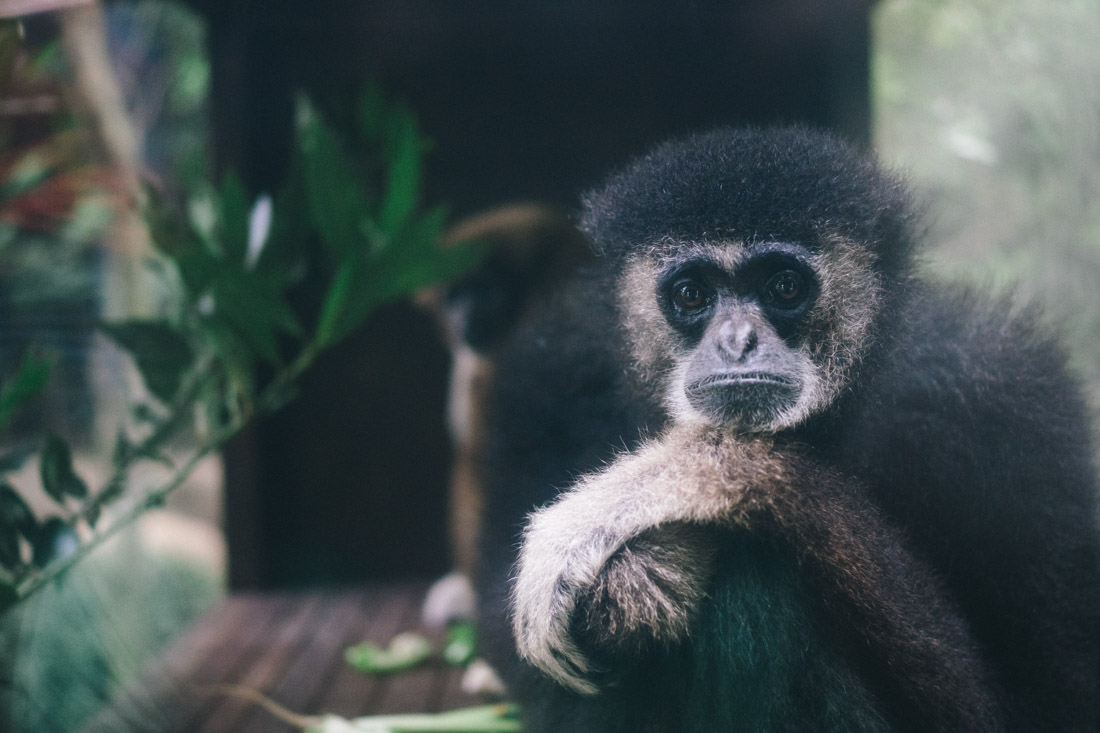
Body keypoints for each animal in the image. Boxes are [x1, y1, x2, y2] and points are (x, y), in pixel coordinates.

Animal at [468, 127, 1100, 731]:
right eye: (691, 294)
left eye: (785, 286)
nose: (737, 342)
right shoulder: (550, 374)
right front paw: (645, 573)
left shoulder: (1006, 401)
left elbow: (1038, 705)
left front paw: (664, 491)